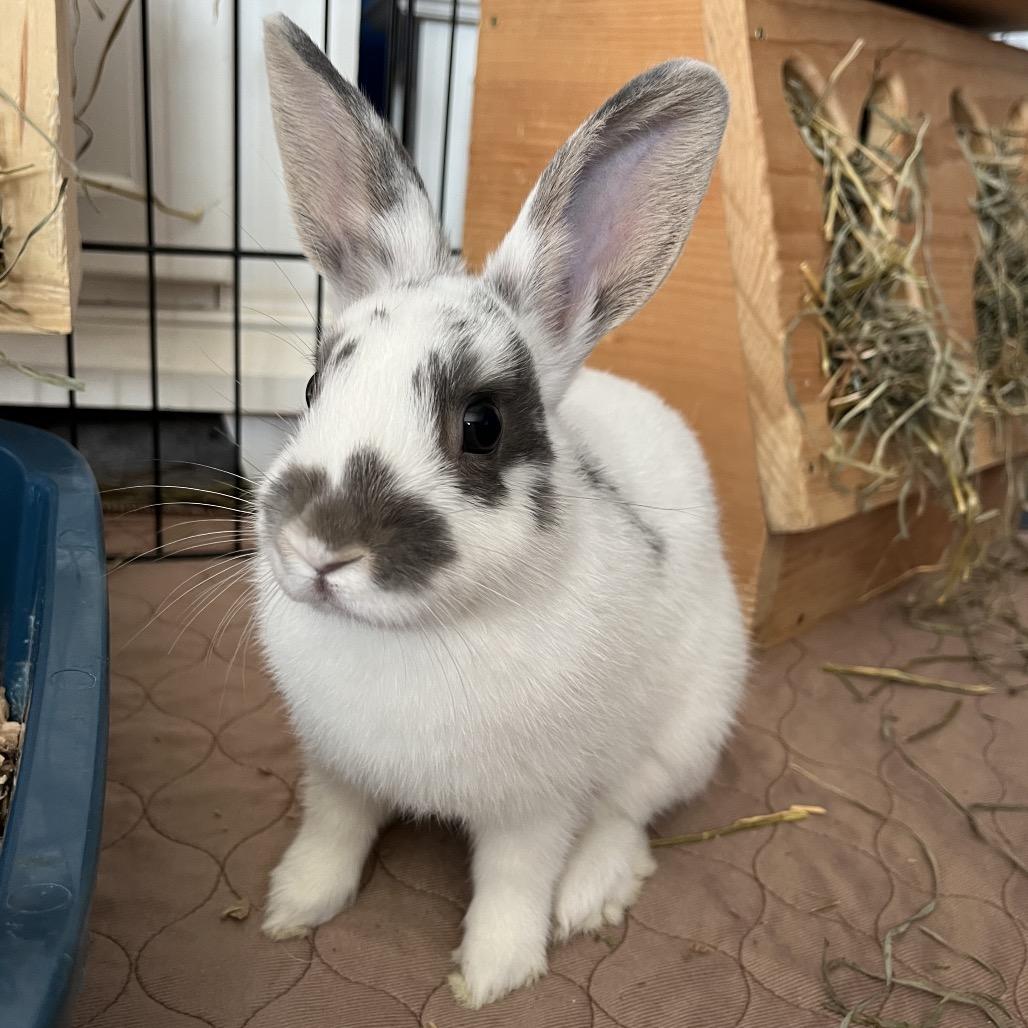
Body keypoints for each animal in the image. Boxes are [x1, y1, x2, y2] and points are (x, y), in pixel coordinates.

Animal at [257, 13, 747, 1009]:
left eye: (481, 425)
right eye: (315, 385)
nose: (321, 548)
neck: (414, 634)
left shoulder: (535, 805)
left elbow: (515, 882)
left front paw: (491, 976)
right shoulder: (335, 769)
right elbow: (333, 834)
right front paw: (294, 908)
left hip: (687, 730)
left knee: (628, 814)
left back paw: (591, 897)